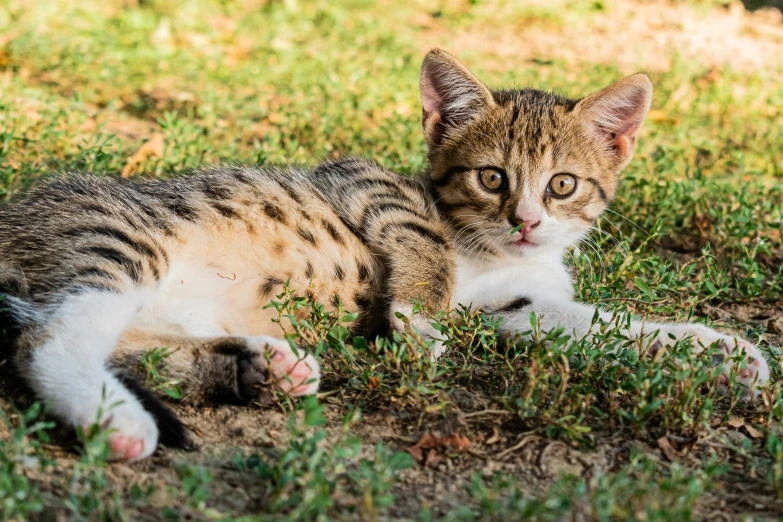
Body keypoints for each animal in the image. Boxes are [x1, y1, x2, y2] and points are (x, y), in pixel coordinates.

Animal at [0, 48, 772, 460]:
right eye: (491, 178)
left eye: (562, 184)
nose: (525, 222)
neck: (491, 250)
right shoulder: (364, 179)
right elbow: (424, 244)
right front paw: (419, 324)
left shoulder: (515, 307)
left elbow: (597, 324)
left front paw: (719, 351)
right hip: (118, 238)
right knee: (47, 338)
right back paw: (116, 422)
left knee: (129, 339)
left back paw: (261, 366)